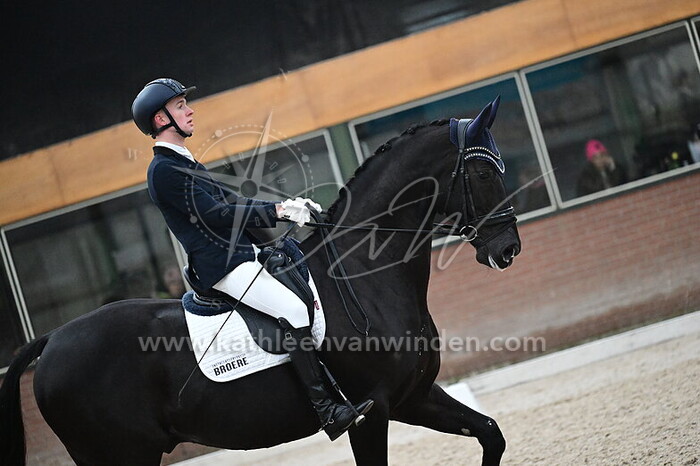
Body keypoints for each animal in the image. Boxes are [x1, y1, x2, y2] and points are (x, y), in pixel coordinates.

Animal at [0, 97, 520, 466]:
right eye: (481, 172)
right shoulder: (370, 415)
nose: (507, 251)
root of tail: (52, 339)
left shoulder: (413, 397)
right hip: (121, 453)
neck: (364, 279)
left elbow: (491, 433)